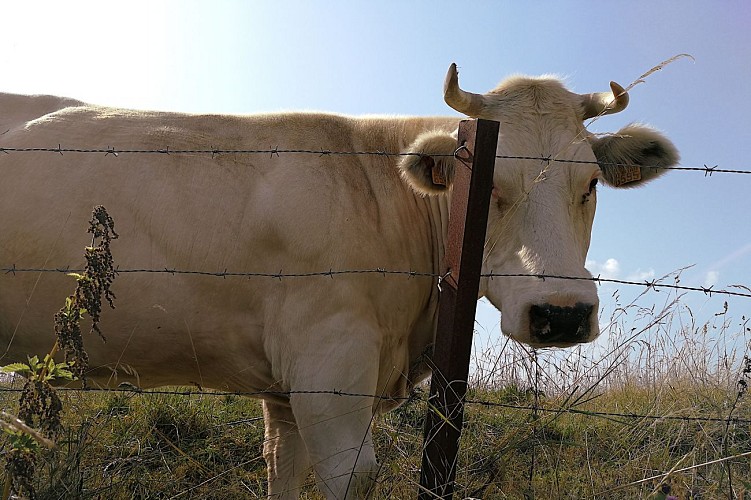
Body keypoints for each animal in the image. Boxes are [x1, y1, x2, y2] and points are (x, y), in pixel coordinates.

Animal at [0, 63, 678, 498]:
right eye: (490, 184)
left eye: (589, 183)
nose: (561, 312)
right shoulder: (330, 370)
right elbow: (350, 476)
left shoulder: (285, 390)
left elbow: (281, 472)